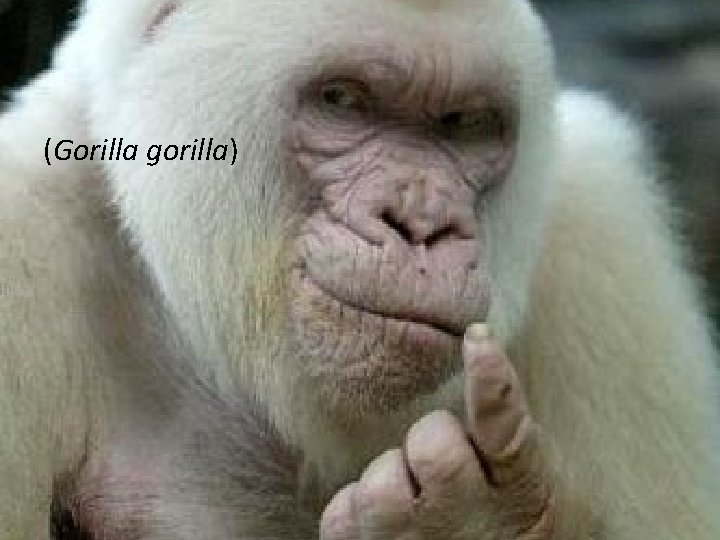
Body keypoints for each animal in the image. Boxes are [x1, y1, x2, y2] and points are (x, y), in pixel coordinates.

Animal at [0, 0, 718, 539]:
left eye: (464, 123)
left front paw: (474, 522)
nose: (420, 223)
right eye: (343, 100)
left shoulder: (601, 226)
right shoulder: (19, 234)